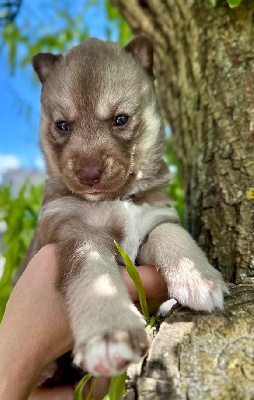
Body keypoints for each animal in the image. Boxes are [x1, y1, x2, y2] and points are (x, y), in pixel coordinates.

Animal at [18, 37, 228, 378]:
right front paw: (109, 334)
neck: (118, 199)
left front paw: (198, 276)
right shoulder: (77, 233)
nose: (89, 174)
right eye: (62, 125)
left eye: (120, 119)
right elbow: (96, 277)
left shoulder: (156, 218)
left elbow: (172, 234)